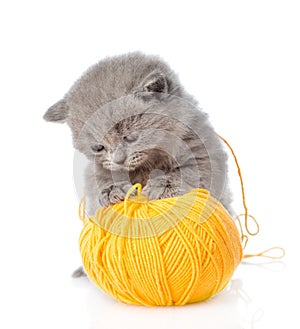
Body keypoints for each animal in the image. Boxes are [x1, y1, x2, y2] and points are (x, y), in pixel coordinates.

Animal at [44, 51, 231, 218]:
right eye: (98, 147)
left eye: (131, 137)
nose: (119, 161)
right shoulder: (97, 171)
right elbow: (100, 182)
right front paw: (113, 189)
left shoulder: (203, 150)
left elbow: (191, 172)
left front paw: (162, 187)